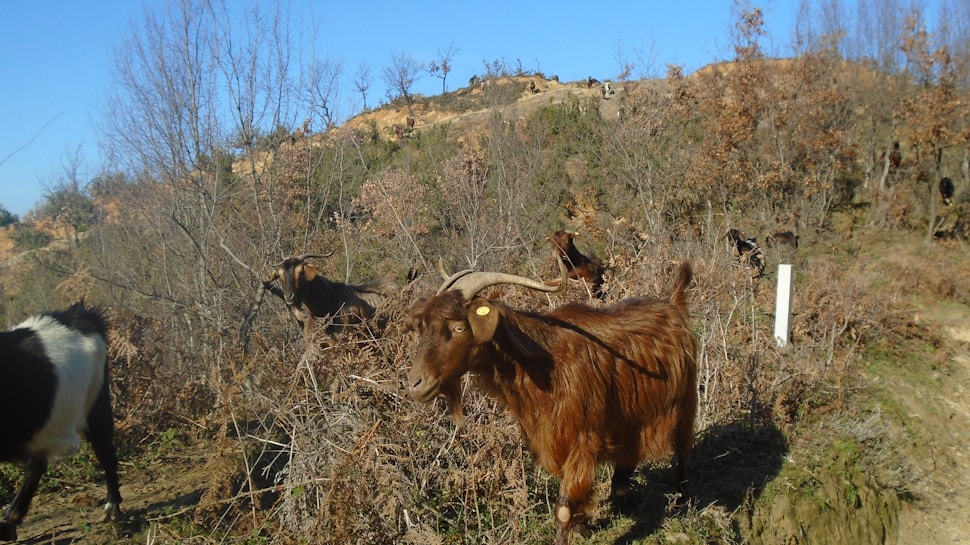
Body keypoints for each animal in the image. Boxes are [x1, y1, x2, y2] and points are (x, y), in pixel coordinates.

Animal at [1, 303, 121, 541]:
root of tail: (79, 314)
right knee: (36, 464)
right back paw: (11, 520)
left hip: (95, 403)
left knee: (106, 451)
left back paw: (112, 508)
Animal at [406, 261, 697, 545]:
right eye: (422, 328)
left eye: (459, 328)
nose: (416, 383)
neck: (544, 364)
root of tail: (673, 303)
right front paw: (583, 526)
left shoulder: (583, 439)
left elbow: (564, 506)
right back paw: (620, 497)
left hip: (685, 400)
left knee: (684, 447)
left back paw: (683, 496)